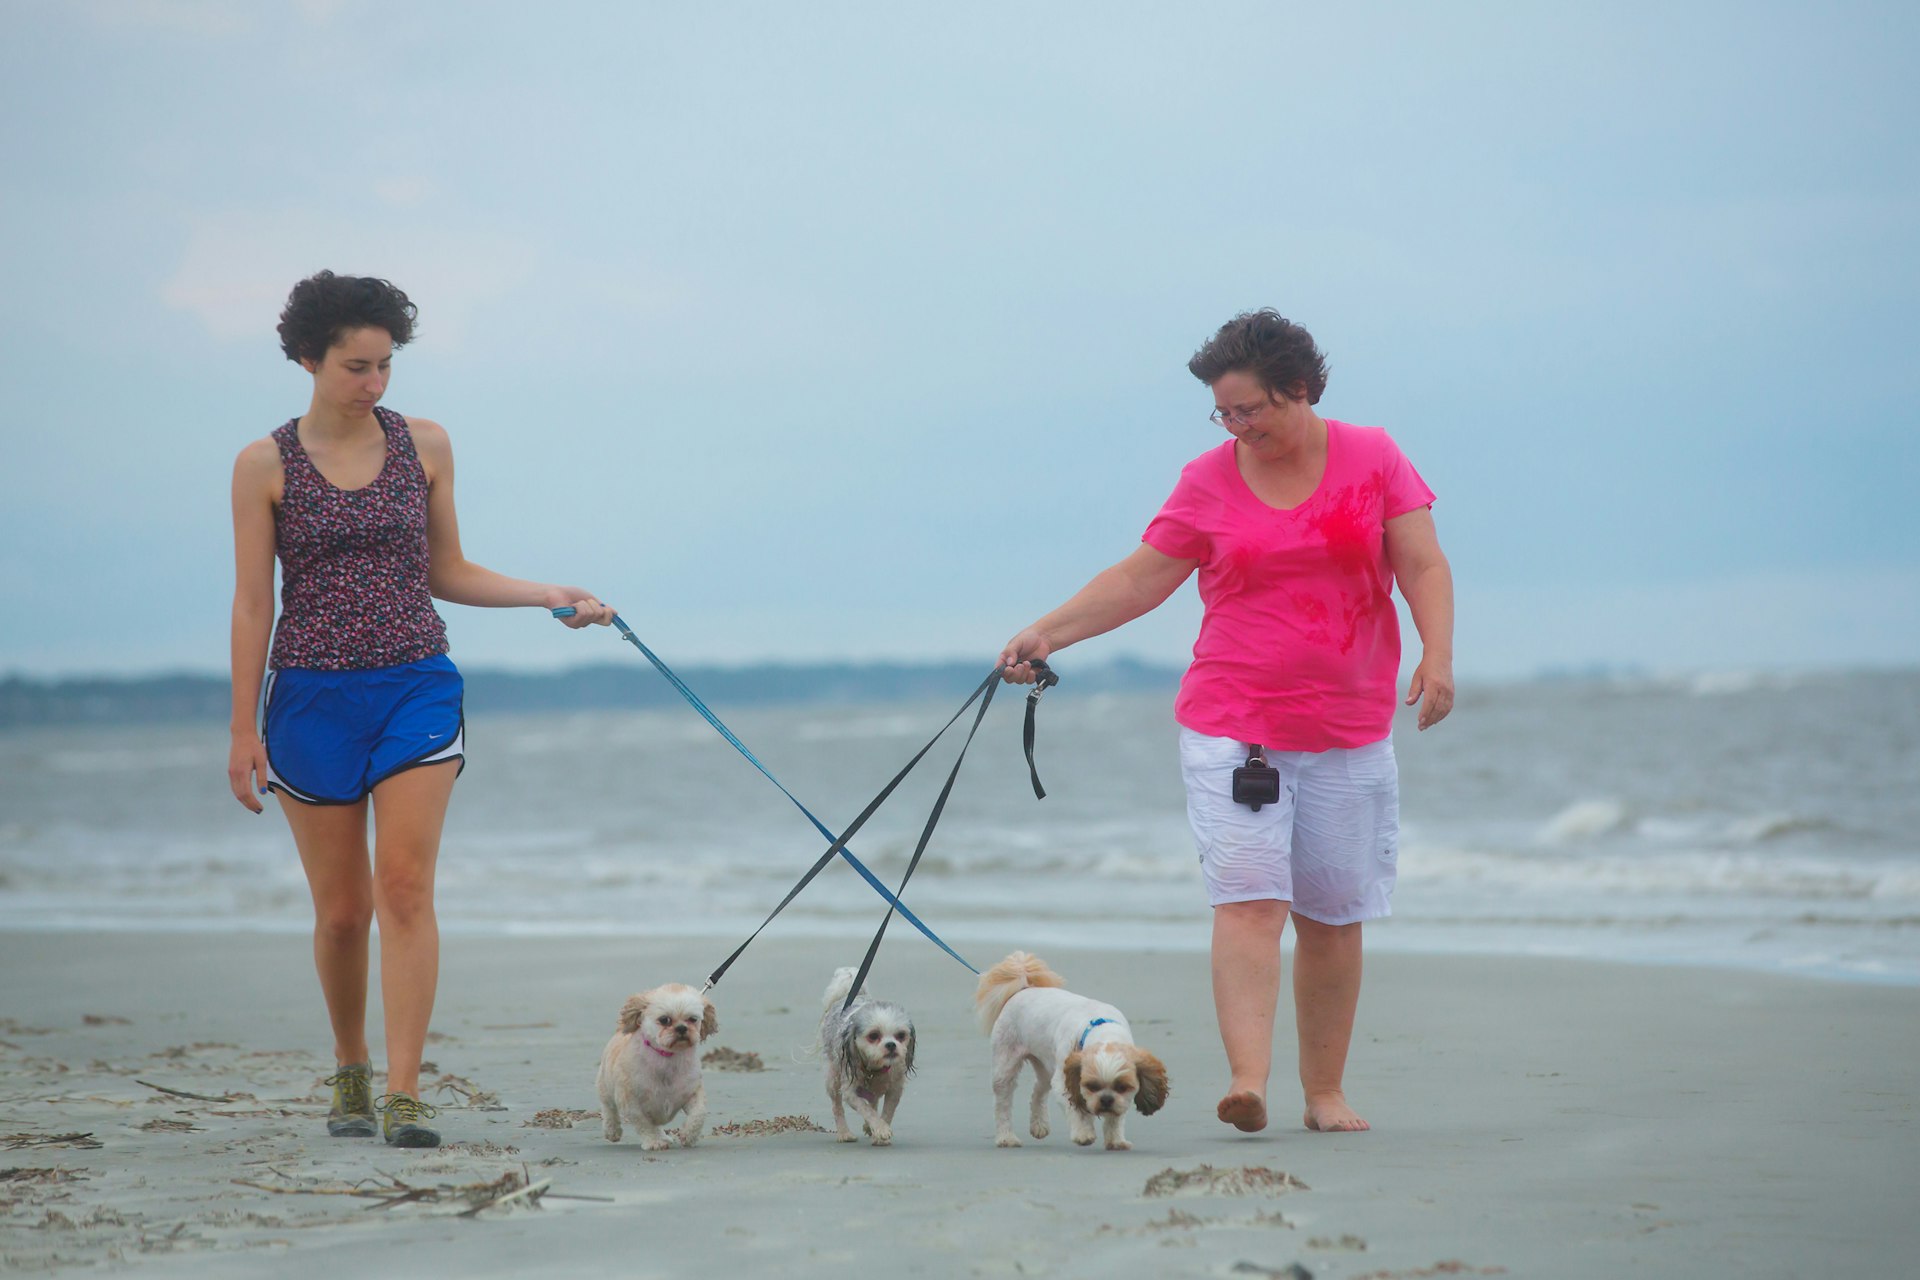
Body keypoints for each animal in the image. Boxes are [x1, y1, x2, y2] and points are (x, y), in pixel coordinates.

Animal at [591, 990, 721, 1159]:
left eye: (693, 1019)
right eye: (664, 1020)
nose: (681, 1028)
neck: (667, 1057)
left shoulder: (692, 1092)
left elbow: (699, 1113)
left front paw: (689, 1135)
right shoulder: (631, 1101)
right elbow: (643, 1123)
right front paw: (654, 1142)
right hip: (605, 1086)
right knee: (608, 1108)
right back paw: (612, 1130)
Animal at [817, 967, 913, 1143]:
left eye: (901, 1035)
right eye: (874, 1036)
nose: (891, 1045)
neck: (876, 1069)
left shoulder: (895, 1090)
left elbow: (886, 1112)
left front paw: (880, 1131)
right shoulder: (850, 1091)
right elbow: (866, 1110)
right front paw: (880, 1129)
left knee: (873, 1101)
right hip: (833, 1077)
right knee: (837, 1106)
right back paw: (844, 1133)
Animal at [975, 951, 1167, 1151]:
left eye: (1122, 1087)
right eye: (1092, 1086)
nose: (1106, 1100)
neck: (1101, 1028)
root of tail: (1023, 989)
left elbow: (1115, 1118)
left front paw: (1116, 1141)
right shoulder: (1065, 1080)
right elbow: (1076, 1109)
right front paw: (1083, 1133)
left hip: (1046, 1066)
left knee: (1038, 1090)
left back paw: (1039, 1125)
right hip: (1005, 1064)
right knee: (1002, 1102)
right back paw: (1006, 1138)